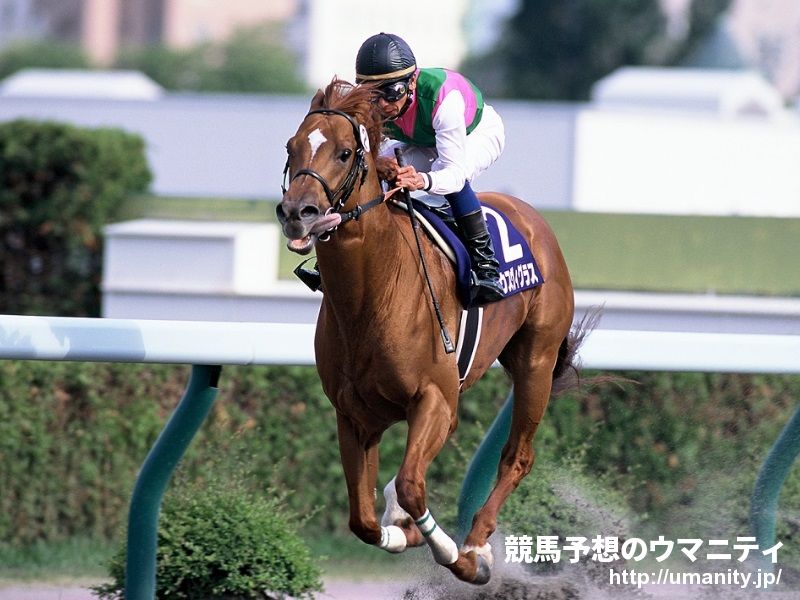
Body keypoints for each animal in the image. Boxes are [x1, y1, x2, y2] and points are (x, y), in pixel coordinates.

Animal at [276, 78, 578, 585]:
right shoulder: (354, 415)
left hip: (536, 361)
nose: (298, 212)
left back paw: (476, 543)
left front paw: (456, 555)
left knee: (517, 456)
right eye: (291, 146)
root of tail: (531, 218)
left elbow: (414, 487)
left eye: (343, 153)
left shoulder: (434, 399)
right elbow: (362, 519)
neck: (372, 297)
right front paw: (400, 531)